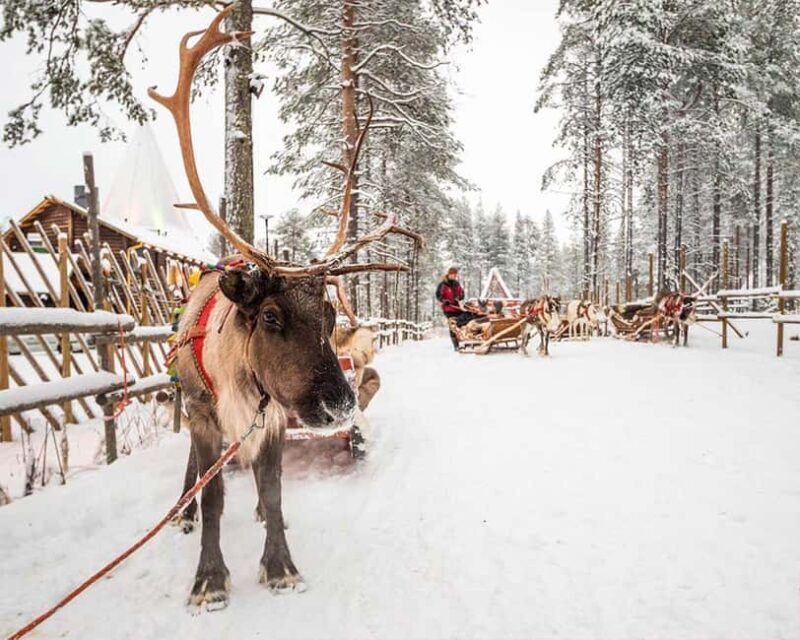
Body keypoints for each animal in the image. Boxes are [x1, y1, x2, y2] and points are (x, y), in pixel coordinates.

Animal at [149, 7, 415, 610]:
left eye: (332, 316)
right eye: (270, 316)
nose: (341, 405)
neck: (241, 379)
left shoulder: (270, 419)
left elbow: (272, 492)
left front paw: (279, 566)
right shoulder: (205, 415)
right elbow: (214, 496)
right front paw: (209, 579)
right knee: (197, 471)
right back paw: (182, 511)